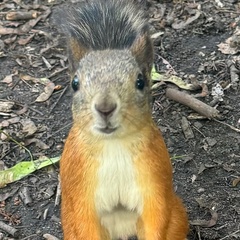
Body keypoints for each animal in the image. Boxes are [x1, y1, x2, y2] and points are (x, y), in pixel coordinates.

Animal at [55, 0, 188, 240]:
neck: (113, 145)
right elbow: (85, 223)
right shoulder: (80, 188)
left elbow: (157, 216)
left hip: (178, 218)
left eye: (140, 81)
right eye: (75, 83)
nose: (105, 108)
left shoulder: (154, 178)